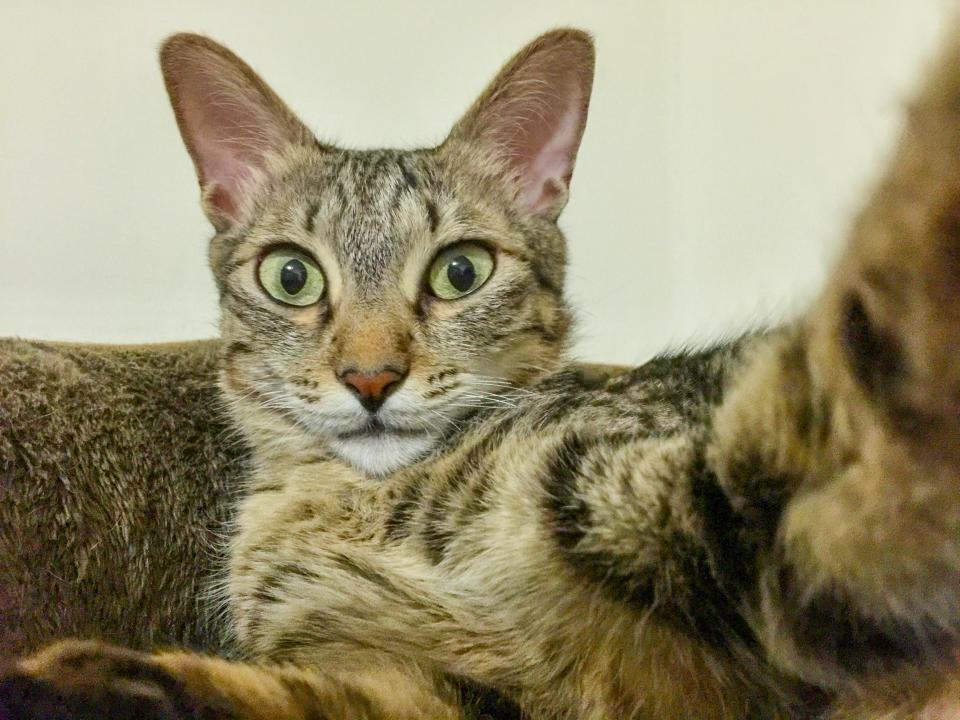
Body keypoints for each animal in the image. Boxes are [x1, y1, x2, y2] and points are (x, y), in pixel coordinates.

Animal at [1, 26, 960, 720]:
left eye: (460, 271)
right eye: (291, 276)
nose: (371, 377)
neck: (354, 504)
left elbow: (840, 397)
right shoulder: (440, 684)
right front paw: (74, 679)